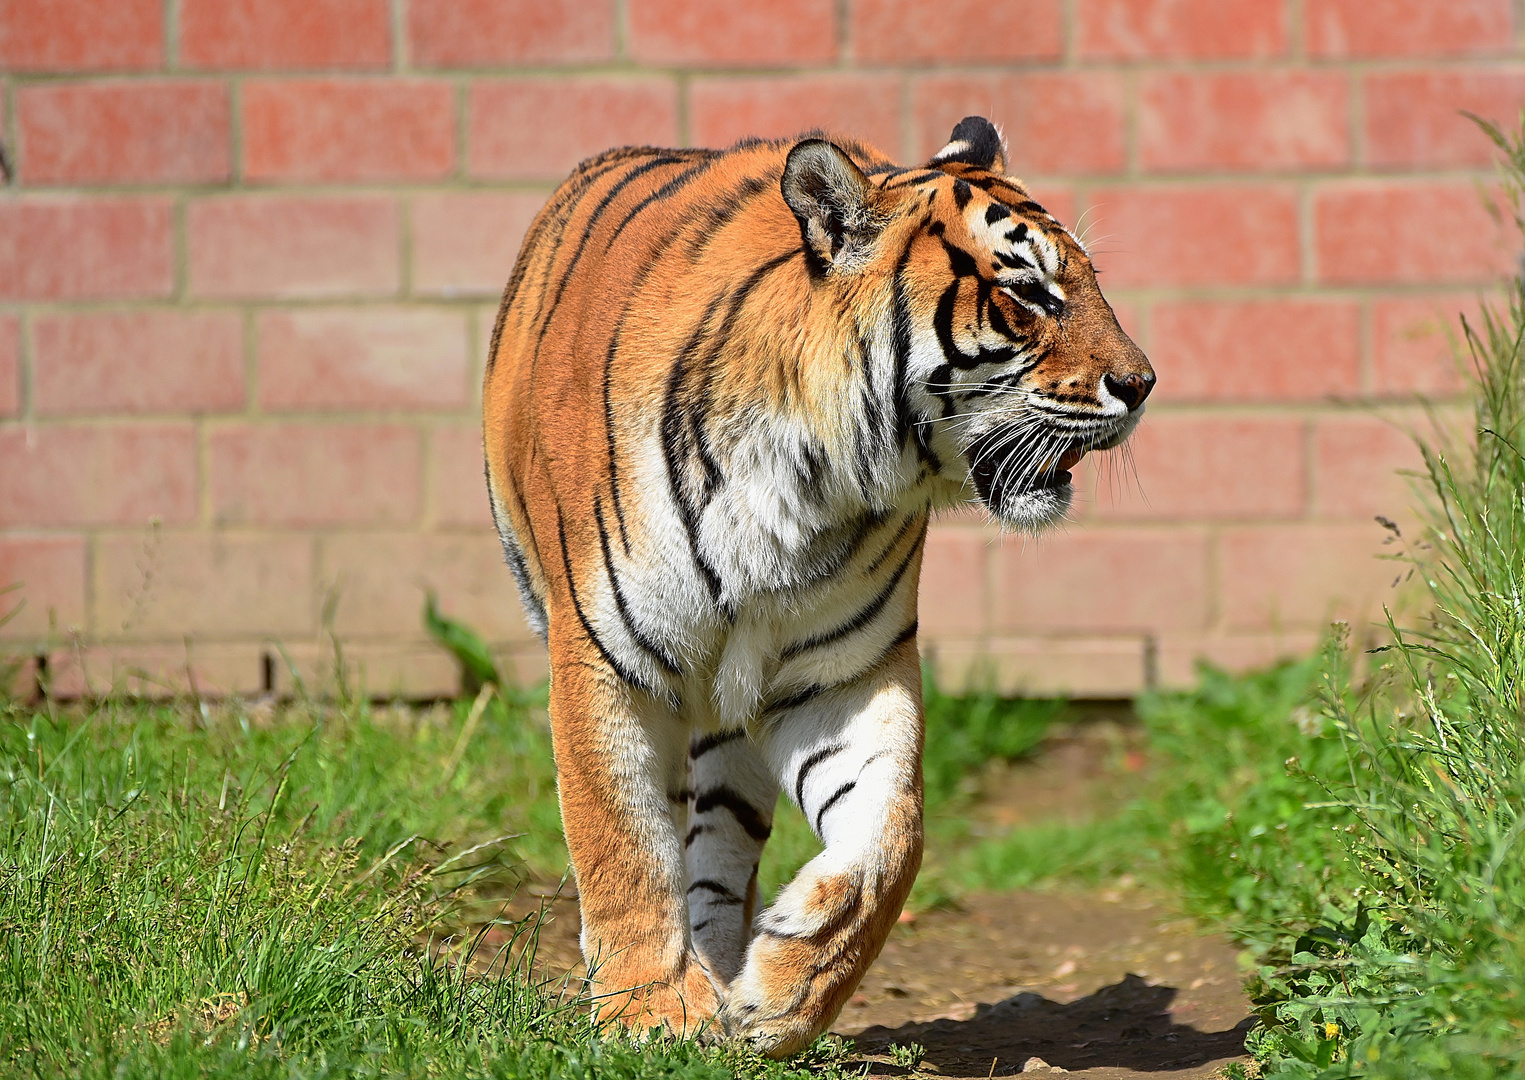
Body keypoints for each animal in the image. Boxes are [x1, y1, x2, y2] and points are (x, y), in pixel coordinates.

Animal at [481, 118, 1146, 1055]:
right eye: (1028, 292)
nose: (1143, 384)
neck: (809, 481)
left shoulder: (843, 676)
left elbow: (892, 831)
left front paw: (787, 992)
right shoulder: (604, 661)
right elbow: (620, 839)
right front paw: (650, 1013)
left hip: (730, 728)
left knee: (719, 855)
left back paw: (726, 978)